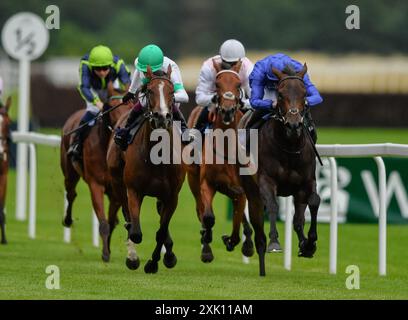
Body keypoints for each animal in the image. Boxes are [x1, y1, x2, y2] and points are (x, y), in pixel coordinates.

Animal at [59, 84, 131, 262]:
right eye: (112, 107)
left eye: (132, 106)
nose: (122, 129)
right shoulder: (95, 184)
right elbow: (104, 223)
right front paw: (105, 254)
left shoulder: (115, 190)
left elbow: (110, 222)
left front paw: (108, 250)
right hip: (69, 172)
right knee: (71, 193)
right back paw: (68, 220)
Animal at [107, 64, 186, 272]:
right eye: (149, 91)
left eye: (171, 91)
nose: (162, 116)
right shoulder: (134, 190)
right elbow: (135, 231)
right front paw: (135, 258)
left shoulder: (172, 196)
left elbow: (161, 231)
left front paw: (155, 262)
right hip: (118, 183)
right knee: (127, 218)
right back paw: (132, 256)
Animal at [186, 60, 253, 262]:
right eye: (217, 84)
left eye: (238, 85)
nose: (227, 111)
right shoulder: (207, 183)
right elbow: (208, 217)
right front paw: (207, 241)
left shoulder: (241, 187)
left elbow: (238, 217)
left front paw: (235, 241)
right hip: (193, 179)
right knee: (200, 209)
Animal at [239, 63, 322, 276]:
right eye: (281, 94)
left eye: (304, 93)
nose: (293, 124)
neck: (290, 147)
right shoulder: (266, 181)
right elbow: (273, 206)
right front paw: (274, 242)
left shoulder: (306, 182)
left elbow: (310, 205)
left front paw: (308, 244)